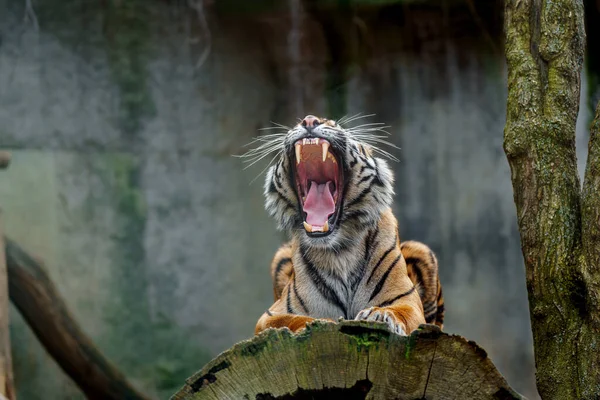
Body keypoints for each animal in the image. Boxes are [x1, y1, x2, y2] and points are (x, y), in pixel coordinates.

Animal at [246, 115, 442, 334]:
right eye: (301, 122)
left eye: (333, 124)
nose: (309, 120)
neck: (339, 252)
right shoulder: (270, 315)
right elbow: (292, 319)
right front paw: (319, 324)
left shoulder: (408, 301)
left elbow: (400, 311)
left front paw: (380, 315)